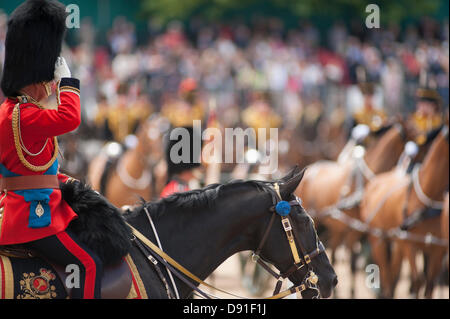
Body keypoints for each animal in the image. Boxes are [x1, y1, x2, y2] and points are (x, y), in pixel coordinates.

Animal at [360, 126, 448, 298]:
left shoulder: (438, 248)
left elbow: (430, 284)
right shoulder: (409, 243)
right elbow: (418, 280)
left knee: (393, 274)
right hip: (378, 238)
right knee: (386, 275)